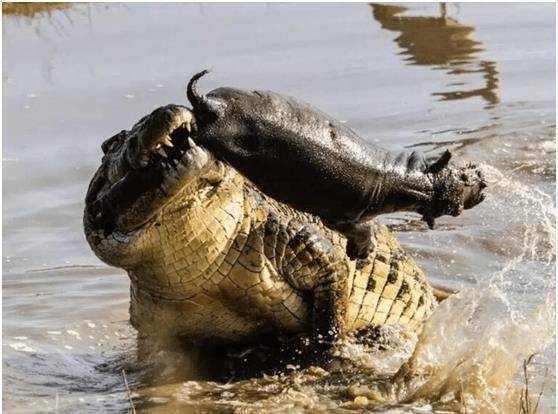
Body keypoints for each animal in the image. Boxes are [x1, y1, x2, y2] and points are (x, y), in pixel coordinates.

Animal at [187, 71, 486, 258]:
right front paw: (364, 253)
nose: (483, 180)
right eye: (463, 180)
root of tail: (211, 104)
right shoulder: (344, 217)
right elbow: (363, 230)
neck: (417, 182)